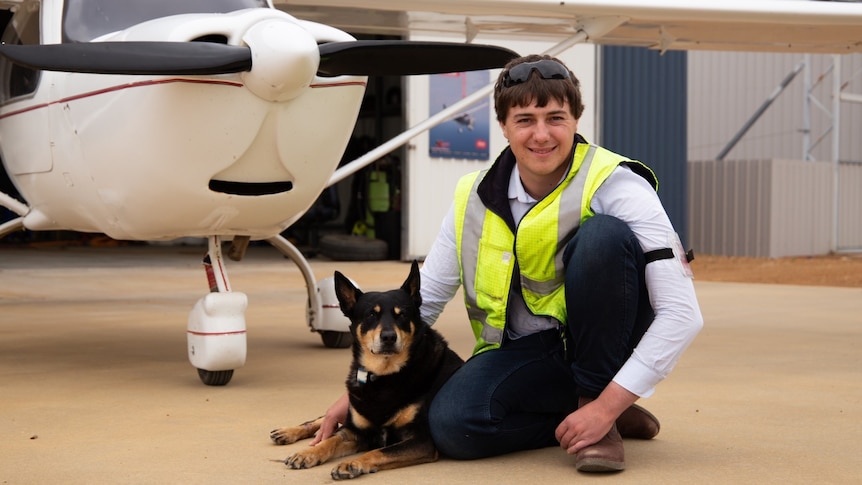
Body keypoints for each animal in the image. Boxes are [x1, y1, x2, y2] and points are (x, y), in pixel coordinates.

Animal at [272, 260, 466, 478]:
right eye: (371, 315)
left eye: (402, 315)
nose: (389, 337)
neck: (384, 375)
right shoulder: (354, 431)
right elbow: (330, 439)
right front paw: (307, 453)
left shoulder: (421, 440)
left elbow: (379, 451)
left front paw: (352, 463)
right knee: (324, 419)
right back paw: (288, 431)